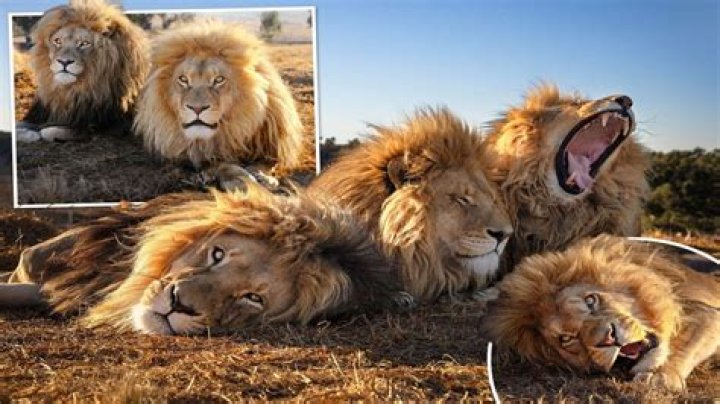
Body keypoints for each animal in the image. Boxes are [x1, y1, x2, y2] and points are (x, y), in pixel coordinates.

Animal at [17, 0, 148, 142]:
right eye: (58, 41)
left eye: (84, 43)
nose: (64, 62)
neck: (73, 90)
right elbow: (20, 124)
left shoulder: (103, 127)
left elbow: (48, 132)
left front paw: (34, 134)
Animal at [132, 20, 305, 176]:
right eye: (183, 79)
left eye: (219, 80)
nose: (197, 108)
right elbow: (222, 166)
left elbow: (268, 162)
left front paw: (260, 174)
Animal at [481, 235, 720, 391]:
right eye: (566, 339)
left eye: (590, 301)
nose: (608, 339)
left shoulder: (706, 311)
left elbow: (682, 344)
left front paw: (659, 375)